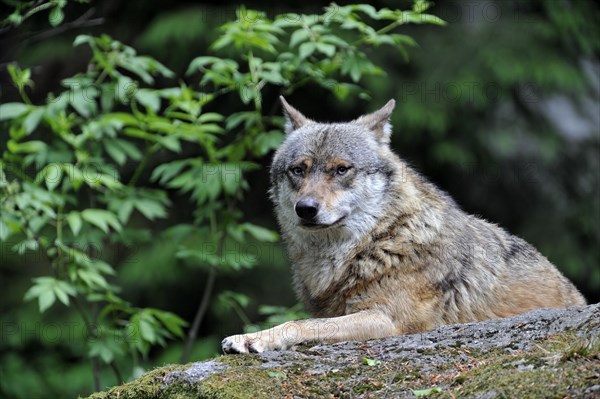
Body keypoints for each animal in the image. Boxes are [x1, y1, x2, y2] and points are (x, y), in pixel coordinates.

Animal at [220, 97, 584, 354]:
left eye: (341, 169)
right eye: (298, 170)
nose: (306, 209)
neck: (379, 240)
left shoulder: (389, 320)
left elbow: (300, 324)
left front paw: (253, 339)